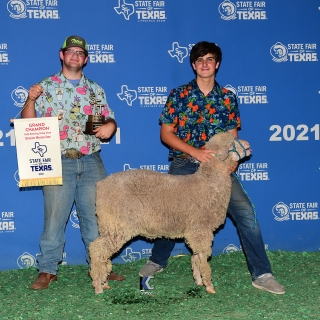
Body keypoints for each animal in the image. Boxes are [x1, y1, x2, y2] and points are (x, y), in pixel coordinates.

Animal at [89, 132, 251, 296]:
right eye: (232, 143)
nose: (248, 145)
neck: (208, 182)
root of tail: (100, 186)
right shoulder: (201, 229)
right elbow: (203, 257)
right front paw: (208, 284)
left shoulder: (194, 231)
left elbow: (195, 257)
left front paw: (198, 280)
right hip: (117, 225)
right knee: (97, 249)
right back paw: (98, 286)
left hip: (110, 226)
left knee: (101, 252)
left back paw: (104, 281)